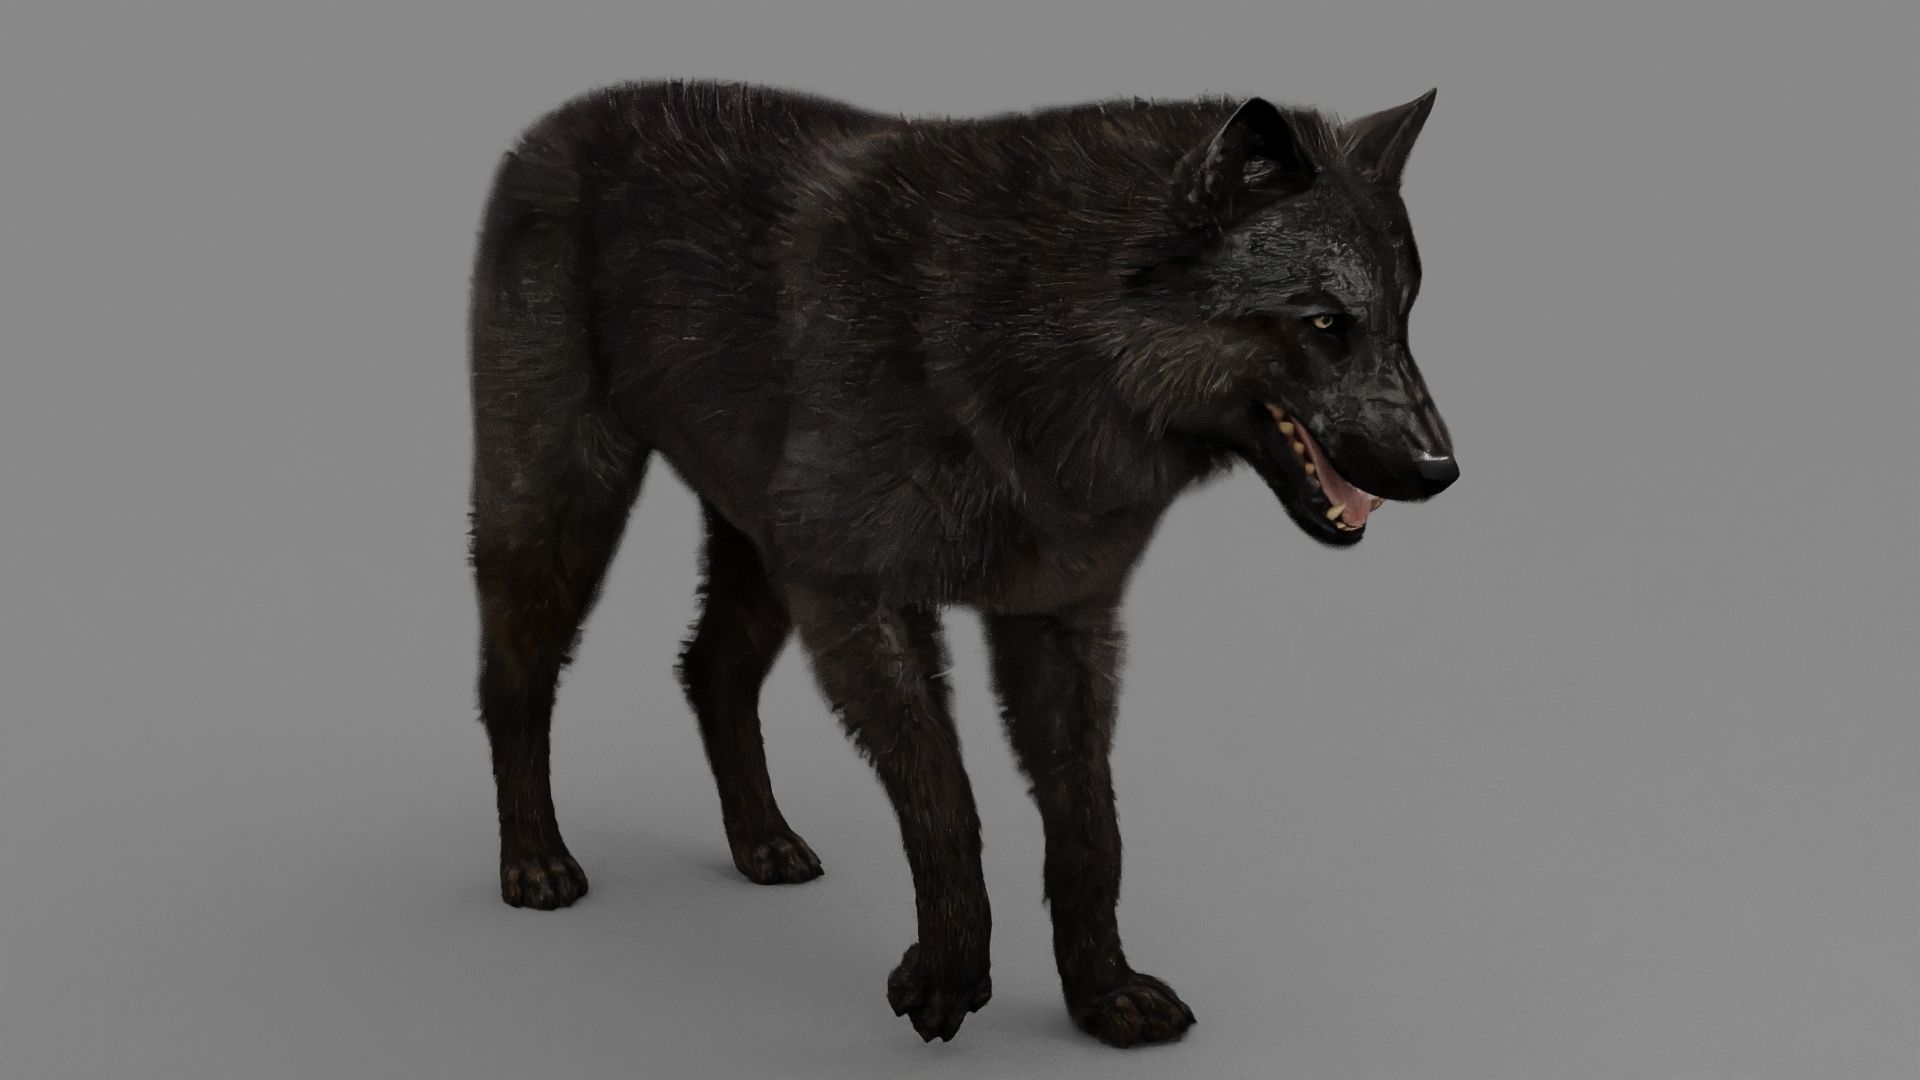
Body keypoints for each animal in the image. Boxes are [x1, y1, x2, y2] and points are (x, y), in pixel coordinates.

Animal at [466, 78, 1457, 1047]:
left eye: (1403, 319)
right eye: (1324, 321)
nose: (1441, 470)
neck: (1043, 343)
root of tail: (551, 127)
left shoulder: (1059, 619)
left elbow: (1091, 824)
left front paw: (1103, 994)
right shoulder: (859, 601)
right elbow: (945, 795)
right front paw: (947, 975)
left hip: (761, 550)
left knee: (709, 668)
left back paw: (762, 844)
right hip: (563, 517)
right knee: (514, 678)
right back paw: (536, 862)